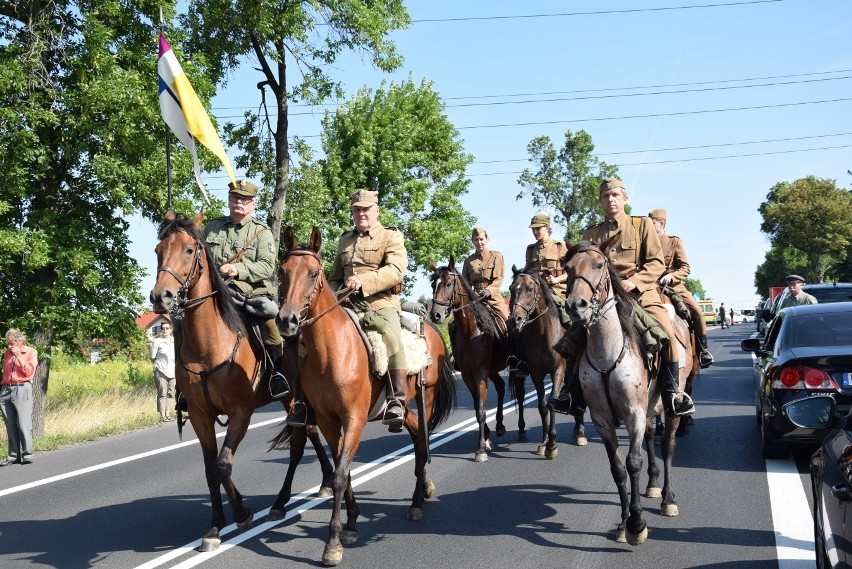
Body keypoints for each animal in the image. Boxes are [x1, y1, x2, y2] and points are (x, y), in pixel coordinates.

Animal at [146, 212, 332, 552]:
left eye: (189, 250)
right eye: (158, 250)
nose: (160, 297)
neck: (209, 346)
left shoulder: (240, 413)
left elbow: (223, 463)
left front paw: (242, 513)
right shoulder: (200, 415)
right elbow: (210, 468)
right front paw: (215, 526)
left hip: (291, 398)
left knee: (302, 440)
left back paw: (285, 501)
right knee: (309, 433)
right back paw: (323, 482)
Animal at [276, 226, 456, 568]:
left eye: (313, 273)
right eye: (282, 272)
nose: (286, 320)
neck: (331, 352)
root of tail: (432, 329)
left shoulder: (354, 419)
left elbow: (339, 475)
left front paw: (333, 543)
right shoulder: (328, 421)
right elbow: (340, 472)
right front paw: (352, 522)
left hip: (425, 398)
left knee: (422, 442)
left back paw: (416, 502)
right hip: (406, 407)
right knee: (416, 435)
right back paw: (423, 488)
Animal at [430, 260, 510, 462]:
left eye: (448, 284)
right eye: (433, 285)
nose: (435, 315)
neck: (472, 330)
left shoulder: (480, 373)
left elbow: (481, 410)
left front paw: (481, 449)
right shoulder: (467, 375)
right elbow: (476, 408)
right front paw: (486, 440)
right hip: (493, 370)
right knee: (500, 387)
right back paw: (499, 427)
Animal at [506, 266, 584, 458]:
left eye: (529, 289)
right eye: (511, 289)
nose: (514, 320)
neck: (543, 333)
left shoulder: (558, 370)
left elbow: (551, 402)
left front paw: (552, 445)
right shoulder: (536, 373)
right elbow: (542, 406)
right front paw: (544, 442)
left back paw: (579, 432)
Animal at [564, 236, 696, 544]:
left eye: (598, 265)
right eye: (567, 267)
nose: (576, 306)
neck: (607, 352)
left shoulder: (633, 413)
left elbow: (633, 461)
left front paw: (637, 523)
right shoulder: (602, 420)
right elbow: (618, 469)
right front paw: (624, 523)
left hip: (670, 407)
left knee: (667, 446)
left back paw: (668, 498)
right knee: (651, 437)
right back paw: (653, 484)